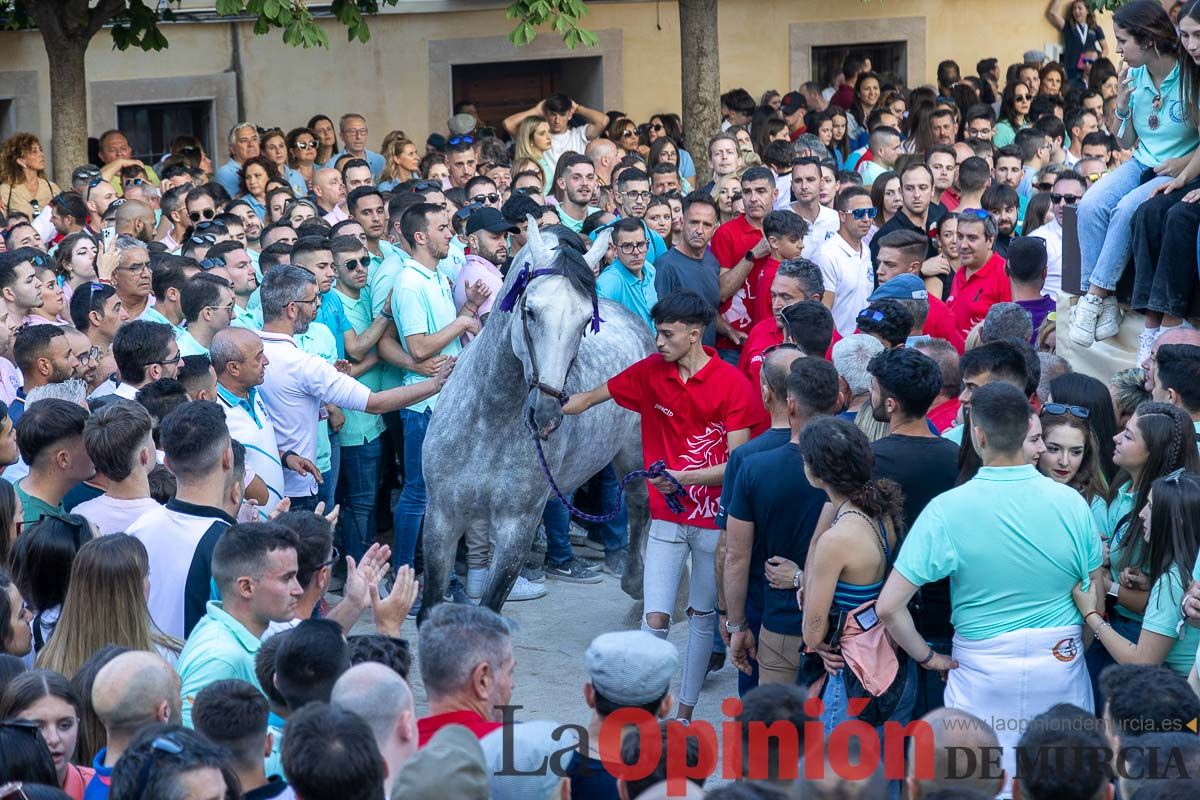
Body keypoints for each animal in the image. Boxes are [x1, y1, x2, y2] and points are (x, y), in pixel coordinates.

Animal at [417, 220, 652, 618]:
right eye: (529, 310)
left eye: (585, 321)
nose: (546, 414)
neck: (488, 421)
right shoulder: (442, 517)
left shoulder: (518, 525)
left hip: (633, 452)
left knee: (639, 505)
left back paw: (638, 584)